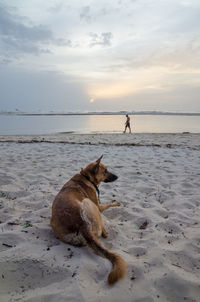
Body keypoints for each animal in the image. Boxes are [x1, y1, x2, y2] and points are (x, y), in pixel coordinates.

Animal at [50, 155, 126, 284]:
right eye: (105, 171)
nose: (117, 176)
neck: (86, 177)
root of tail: (81, 225)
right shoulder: (99, 205)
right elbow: (109, 204)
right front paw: (117, 202)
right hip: (88, 202)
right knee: (103, 231)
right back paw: (106, 231)